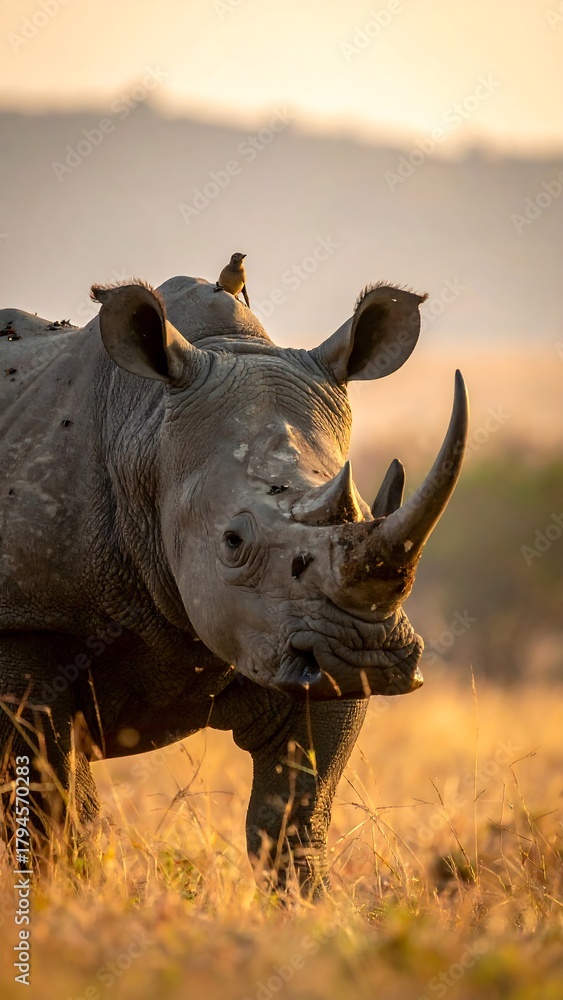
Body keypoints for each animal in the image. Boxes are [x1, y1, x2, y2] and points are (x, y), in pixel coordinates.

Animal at [0, 276, 468, 891]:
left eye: (369, 512)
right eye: (232, 542)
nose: (364, 655)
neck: (146, 434)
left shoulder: (292, 644)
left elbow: (294, 820)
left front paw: (307, 909)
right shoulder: (30, 621)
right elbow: (49, 811)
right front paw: (64, 898)